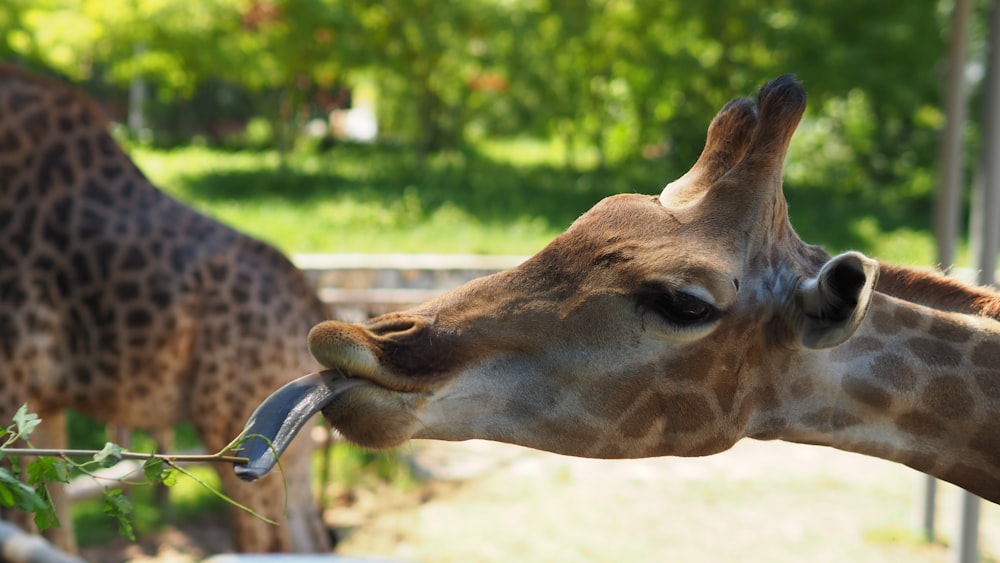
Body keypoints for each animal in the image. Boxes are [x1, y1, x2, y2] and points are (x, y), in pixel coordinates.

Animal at [0, 64, 330, 552]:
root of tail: (315, 311)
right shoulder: (42, 402)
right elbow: (53, 528)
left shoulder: (11, 385)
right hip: (288, 442)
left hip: (235, 431)